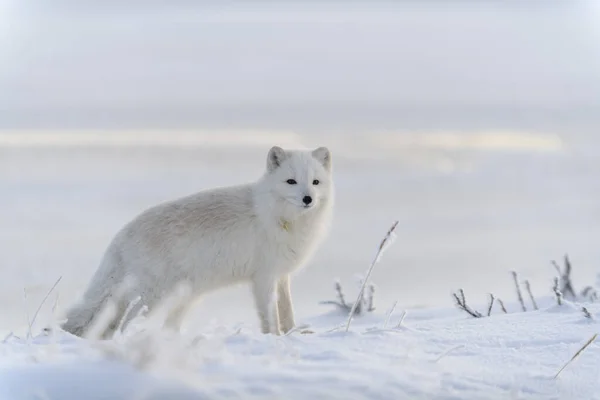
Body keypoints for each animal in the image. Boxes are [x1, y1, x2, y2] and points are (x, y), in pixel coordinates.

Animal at [61, 146, 336, 338]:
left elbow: (288, 312)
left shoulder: (281, 275)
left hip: (179, 297)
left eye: (315, 182)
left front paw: (295, 335)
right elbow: (270, 316)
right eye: (291, 181)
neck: (280, 217)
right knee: (122, 322)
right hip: (152, 297)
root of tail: (121, 235)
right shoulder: (263, 277)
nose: (308, 199)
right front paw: (274, 338)